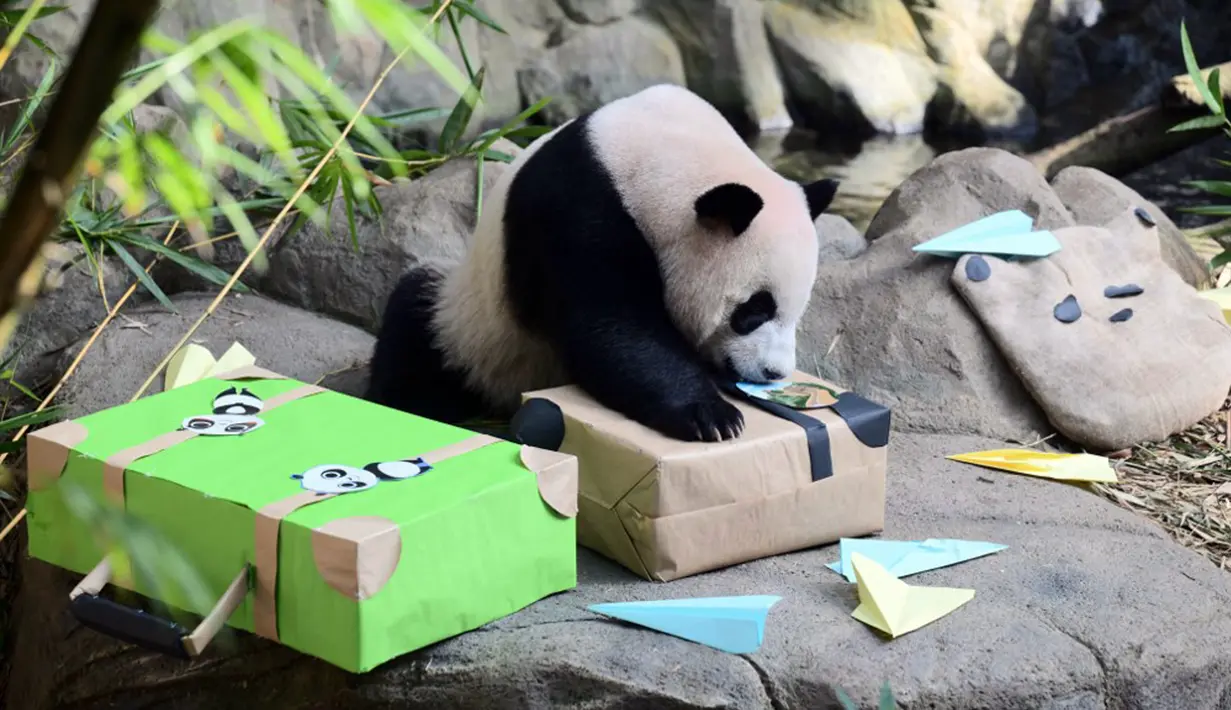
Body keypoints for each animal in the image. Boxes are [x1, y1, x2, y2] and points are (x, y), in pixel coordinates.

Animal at [365, 84, 839, 443]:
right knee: (416, 329)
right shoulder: (575, 208)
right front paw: (713, 416)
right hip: (473, 328)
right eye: (754, 310)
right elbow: (611, 324)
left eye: (798, 310)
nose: (773, 372)